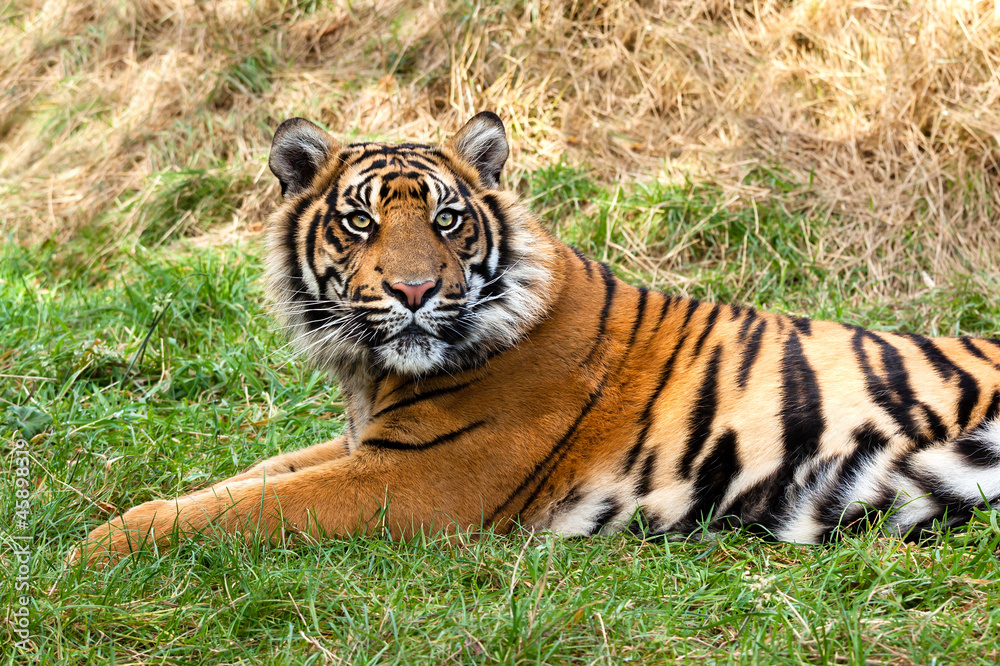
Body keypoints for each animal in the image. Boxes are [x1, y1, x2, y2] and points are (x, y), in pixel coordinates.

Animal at [76, 111, 1000, 566]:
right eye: (361, 222)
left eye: (447, 219)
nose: (414, 291)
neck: (376, 377)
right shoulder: (368, 445)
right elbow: (243, 479)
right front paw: (105, 511)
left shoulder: (421, 477)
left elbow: (250, 506)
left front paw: (97, 547)